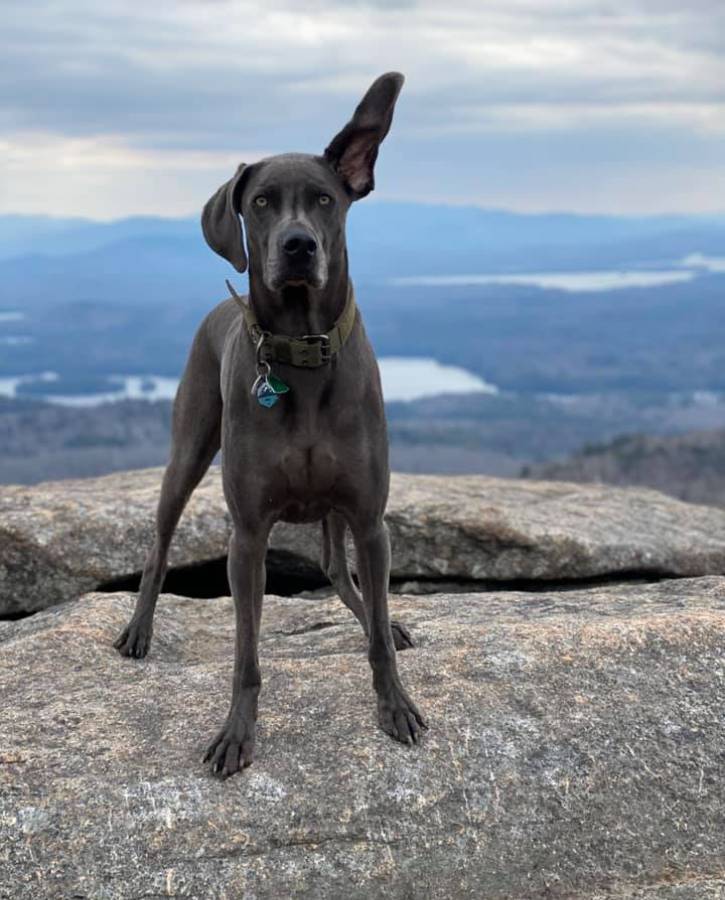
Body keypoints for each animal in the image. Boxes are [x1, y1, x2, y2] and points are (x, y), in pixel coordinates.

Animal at [114, 72, 428, 772]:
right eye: (260, 202)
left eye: (325, 200)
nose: (298, 246)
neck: (301, 354)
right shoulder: (249, 534)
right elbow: (247, 651)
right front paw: (236, 733)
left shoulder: (369, 517)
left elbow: (376, 633)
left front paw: (395, 704)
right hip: (187, 452)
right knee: (159, 545)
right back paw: (139, 629)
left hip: (336, 508)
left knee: (339, 571)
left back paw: (376, 616)